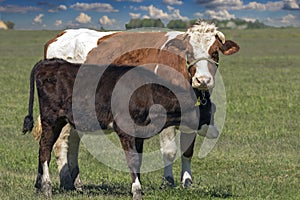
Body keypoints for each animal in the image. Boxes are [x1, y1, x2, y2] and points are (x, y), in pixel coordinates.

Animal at [22, 58, 211, 199]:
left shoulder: (139, 133)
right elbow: (132, 160)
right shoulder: (124, 129)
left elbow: (138, 160)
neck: (148, 93)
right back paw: (47, 187)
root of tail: (50, 62)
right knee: (45, 149)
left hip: (59, 120)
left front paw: (138, 186)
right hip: (51, 119)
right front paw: (136, 190)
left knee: (42, 148)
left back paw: (39, 186)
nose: (213, 130)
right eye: (207, 107)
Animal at [32, 20, 239, 191]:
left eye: (214, 52)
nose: (202, 80)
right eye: (189, 52)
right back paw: (66, 181)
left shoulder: (190, 115)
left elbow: (187, 150)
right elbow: (170, 151)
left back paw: (76, 183)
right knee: (61, 142)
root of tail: (61, 34)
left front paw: (187, 182)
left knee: (73, 141)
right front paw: (168, 182)